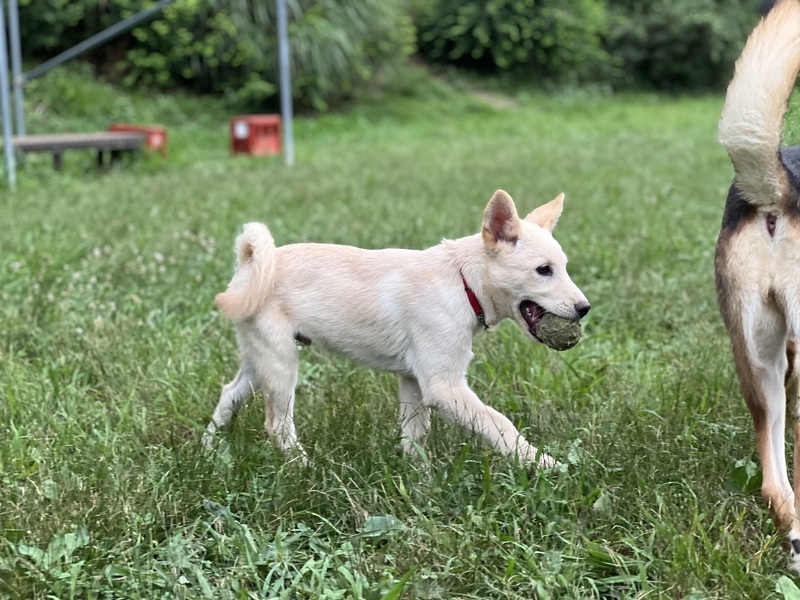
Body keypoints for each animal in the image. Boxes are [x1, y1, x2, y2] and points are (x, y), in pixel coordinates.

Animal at [203, 189, 590, 469]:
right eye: (543, 270)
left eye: (564, 267)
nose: (585, 309)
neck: (462, 281)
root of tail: (249, 262)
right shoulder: (443, 386)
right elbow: (499, 424)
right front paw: (544, 464)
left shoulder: (413, 381)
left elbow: (414, 434)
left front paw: (418, 479)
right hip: (281, 362)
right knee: (277, 425)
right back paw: (304, 469)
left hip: (259, 359)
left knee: (229, 393)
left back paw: (209, 448)